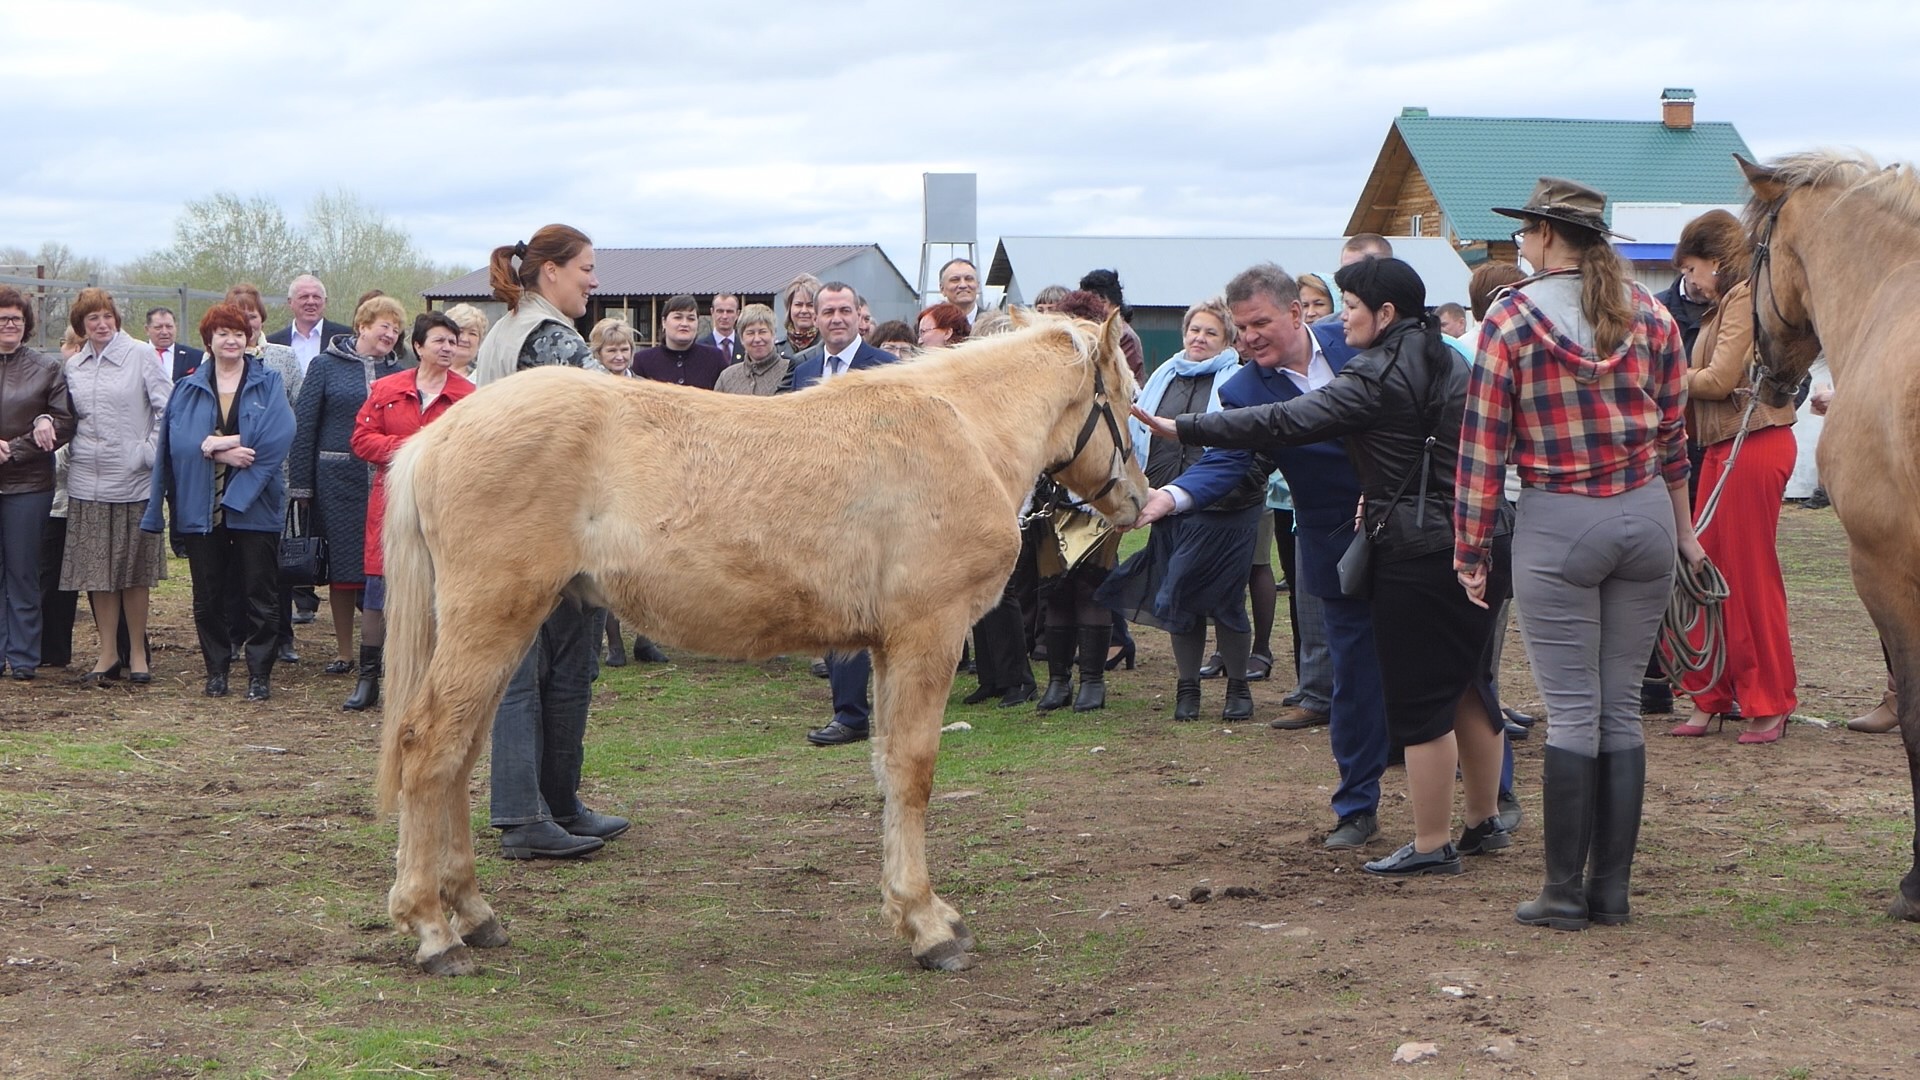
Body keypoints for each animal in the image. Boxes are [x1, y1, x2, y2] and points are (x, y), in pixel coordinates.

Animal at [378, 309, 1152, 968]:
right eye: (1127, 394)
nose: (1139, 500)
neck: (960, 430)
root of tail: (441, 434)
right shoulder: (926, 635)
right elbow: (913, 770)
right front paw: (930, 924)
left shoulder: (886, 649)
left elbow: (885, 768)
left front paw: (909, 911)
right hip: (492, 620)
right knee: (429, 748)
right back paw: (433, 929)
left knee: (459, 756)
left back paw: (472, 912)